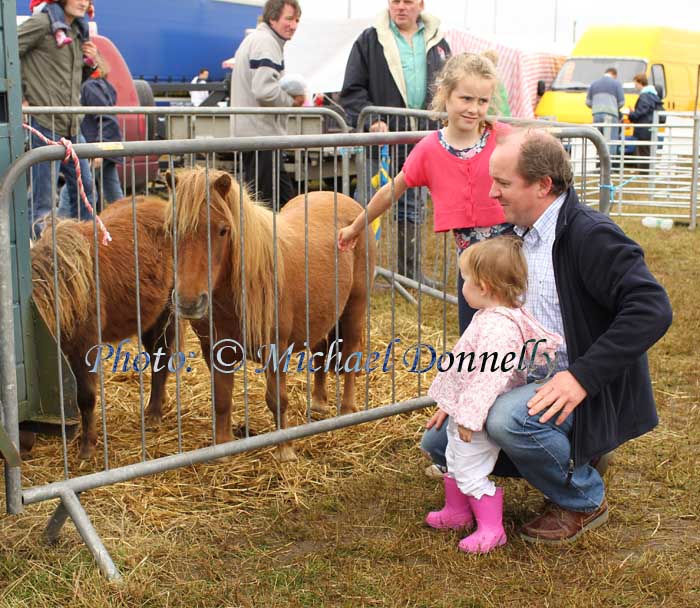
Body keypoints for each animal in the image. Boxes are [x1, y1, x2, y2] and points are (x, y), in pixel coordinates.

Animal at [31, 197, 176, 458]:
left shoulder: (84, 346)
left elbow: (86, 395)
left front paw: (87, 446)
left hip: (166, 314)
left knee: (161, 359)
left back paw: (153, 415)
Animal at [166, 167, 374, 460]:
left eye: (223, 230)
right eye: (172, 229)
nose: (189, 303)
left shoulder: (276, 350)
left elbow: (277, 399)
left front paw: (285, 450)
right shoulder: (214, 350)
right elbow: (221, 398)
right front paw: (223, 448)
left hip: (355, 308)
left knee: (350, 355)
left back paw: (346, 411)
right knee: (321, 352)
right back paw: (319, 404)